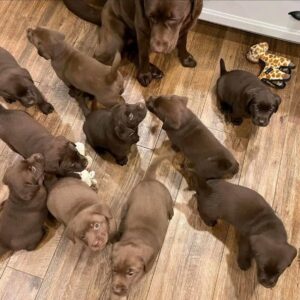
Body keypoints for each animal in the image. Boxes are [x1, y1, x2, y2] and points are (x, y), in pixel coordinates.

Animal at [111, 156, 173, 296]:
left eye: (130, 273)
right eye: (114, 270)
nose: (116, 291)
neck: (138, 238)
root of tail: (149, 179)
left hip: (168, 198)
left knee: (171, 209)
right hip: (131, 199)